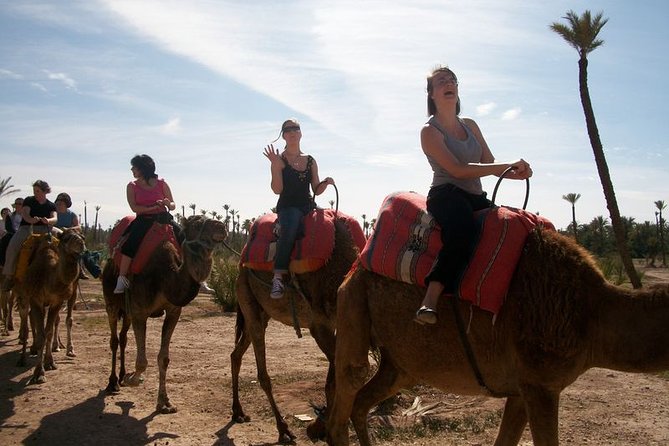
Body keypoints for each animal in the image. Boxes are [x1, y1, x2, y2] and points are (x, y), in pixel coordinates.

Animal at [14, 229, 86, 384]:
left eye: (82, 237)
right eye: (66, 238)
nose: (81, 243)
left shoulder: (56, 301)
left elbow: (49, 331)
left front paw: (50, 362)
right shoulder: (36, 299)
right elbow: (42, 334)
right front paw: (38, 373)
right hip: (23, 294)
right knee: (25, 321)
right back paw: (22, 358)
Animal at [102, 215, 226, 414]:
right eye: (197, 224)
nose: (221, 227)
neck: (165, 277)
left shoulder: (173, 311)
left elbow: (164, 358)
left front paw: (164, 402)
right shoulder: (140, 312)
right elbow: (142, 361)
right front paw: (132, 379)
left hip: (126, 311)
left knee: (123, 337)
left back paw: (121, 376)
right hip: (111, 302)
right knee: (113, 339)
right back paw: (113, 383)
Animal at [231, 217, 362, 443]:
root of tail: (241, 265)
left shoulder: (335, 325)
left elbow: (332, 380)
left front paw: (320, 426)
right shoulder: (319, 325)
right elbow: (336, 377)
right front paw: (322, 427)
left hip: (260, 312)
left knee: (236, 354)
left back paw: (238, 411)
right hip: (247, 297)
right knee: (262, 373)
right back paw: (283, 429)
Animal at [326, 228, 669, 446]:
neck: (594, 314)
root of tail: (357, 265)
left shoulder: (523, 387)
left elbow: (505, 441)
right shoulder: (541, 384)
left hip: (399, 362)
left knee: (365, 400)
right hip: (352, 302)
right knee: (346, 395)